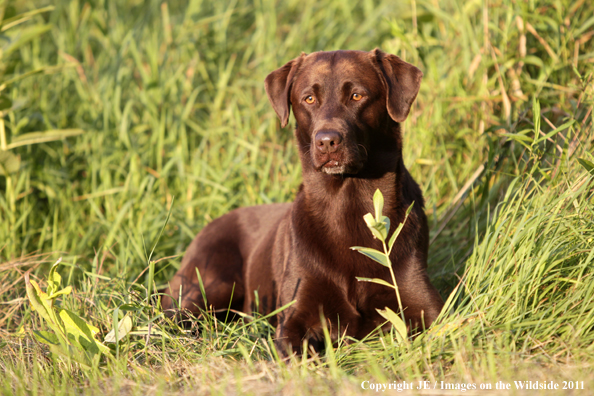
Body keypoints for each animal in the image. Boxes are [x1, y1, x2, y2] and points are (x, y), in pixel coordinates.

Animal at [160, 48, 442, 354]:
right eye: (309, 99)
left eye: (357, 95)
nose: (327, 141)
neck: (347, 205)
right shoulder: (295, 319)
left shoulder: (429, 309)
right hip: (211, 284)